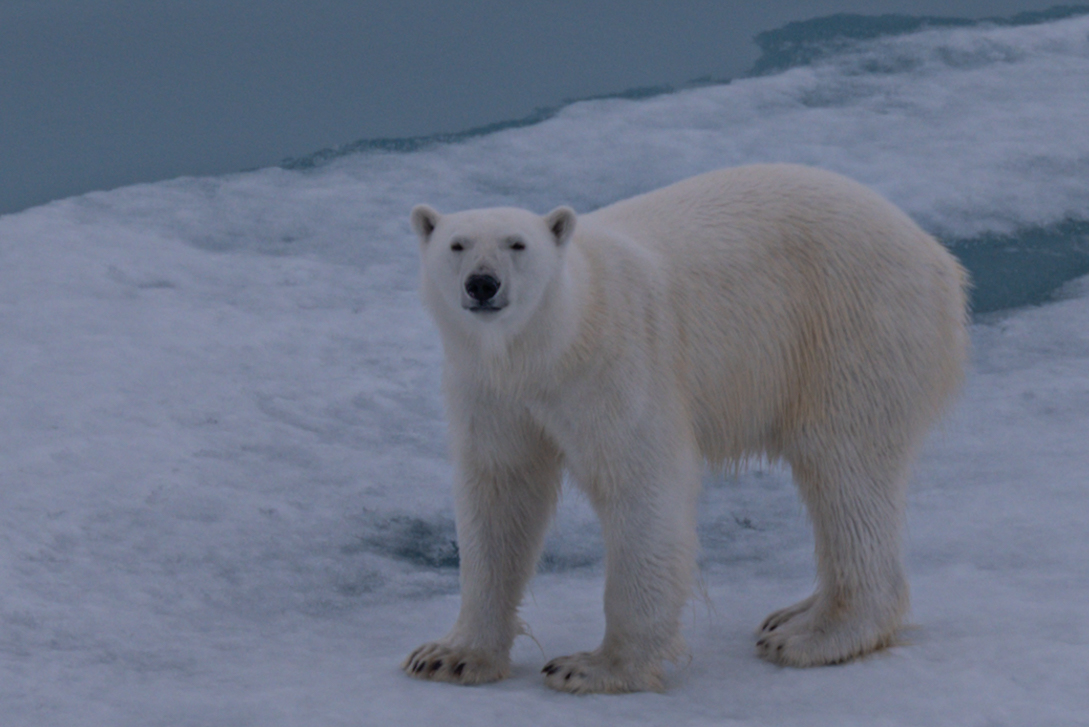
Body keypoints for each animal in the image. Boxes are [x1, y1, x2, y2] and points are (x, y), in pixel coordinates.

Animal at [402, 163, 971, 692]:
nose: (482, 284)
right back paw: (792, 614)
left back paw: (814, 636)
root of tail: (935, 254)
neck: (550, 345)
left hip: (852, 328)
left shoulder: (616, 366)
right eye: (456, 244)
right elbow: (500, 494)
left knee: (845, 470)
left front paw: (595, 667)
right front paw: (450, 656)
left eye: (517, 244)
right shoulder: (491, 392)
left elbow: (641, 487)